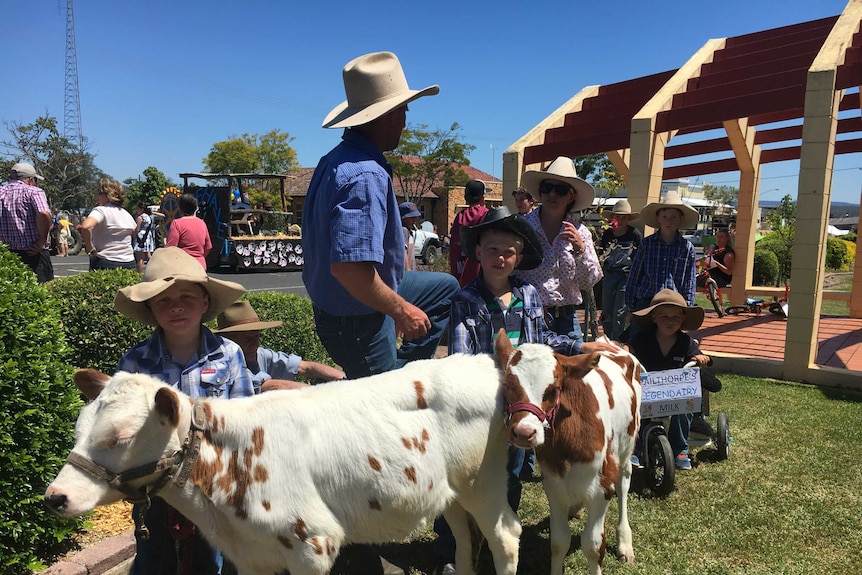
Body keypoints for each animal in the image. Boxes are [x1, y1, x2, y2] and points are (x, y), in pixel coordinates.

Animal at [45, 356, 520, 575]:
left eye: (121, 436)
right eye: (78, 427)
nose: (55, 497)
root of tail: (479, 362)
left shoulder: (312, 541)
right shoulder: (251, 556)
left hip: (483, 483)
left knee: (505, 537)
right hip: (450, 491)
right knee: (465, 537)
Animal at [496, 338, 644, 575]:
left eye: (554, 389)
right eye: (508, 385)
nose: (524, 432)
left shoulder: (603, 486)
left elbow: (593, 546)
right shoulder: (553, 485)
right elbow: (559, 542)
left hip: (627, 444)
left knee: (624, 484)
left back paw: (624, 543)